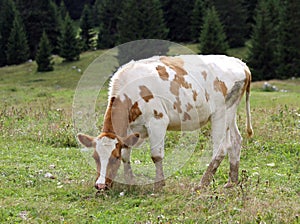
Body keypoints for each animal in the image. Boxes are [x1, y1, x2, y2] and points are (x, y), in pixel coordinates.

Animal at [77, 54, 253, 191]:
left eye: (114, 158)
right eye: (95, 157)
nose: (100, 185)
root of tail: (240, 64)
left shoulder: (157, 121)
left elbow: (156, 156)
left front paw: (159, 185)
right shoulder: (131, 130)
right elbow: (127, 154)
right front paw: (130, 180)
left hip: (220, 114)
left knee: (221, 148)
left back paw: (202, 184)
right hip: (230, 113)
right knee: (235, 141)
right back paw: (232, 182)